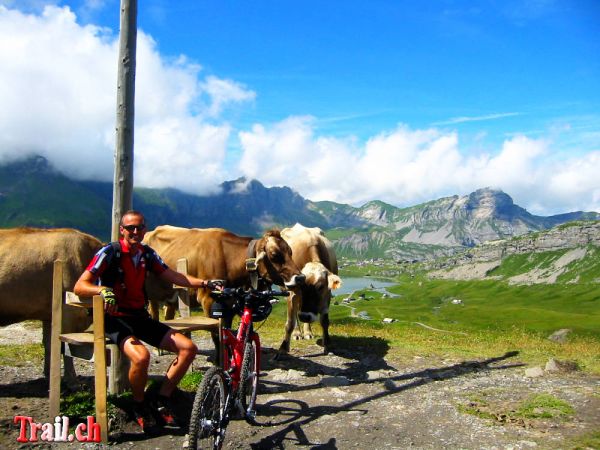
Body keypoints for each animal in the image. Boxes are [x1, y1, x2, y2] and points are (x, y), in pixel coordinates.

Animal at [0, 229, 102, 380]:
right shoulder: (67, 311)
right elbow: (64, 345)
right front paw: (71, 378)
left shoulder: (49, 314)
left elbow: (49, 343)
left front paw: (48, 374)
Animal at [144, 227, 304, 322]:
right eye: (274, 255)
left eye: (291, 252)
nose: (300, 278)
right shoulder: (208, 299)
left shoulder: (231, 302)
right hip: (152, 294)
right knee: (154, 312)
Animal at [278, 223, 340, 356]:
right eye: (300, 286)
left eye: (320, 287)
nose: (305, 316)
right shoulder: (292, 292)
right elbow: (289, 323)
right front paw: (283, 349)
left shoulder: (327, 294)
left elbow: (325, 321)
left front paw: (327, 345)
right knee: (295, 314)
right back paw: (297, 333)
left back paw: (307, 332)